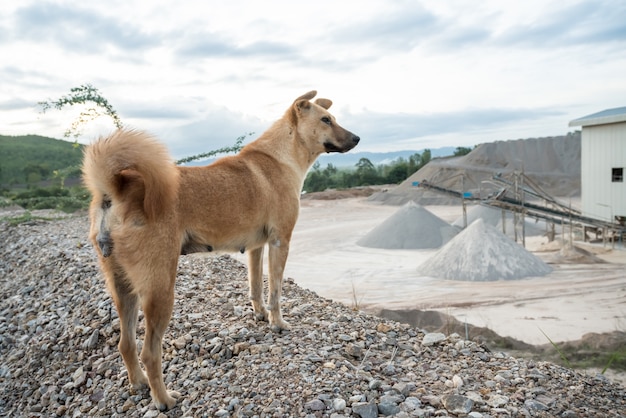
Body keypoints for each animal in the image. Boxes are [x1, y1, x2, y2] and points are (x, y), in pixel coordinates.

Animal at [80, 90, 358, 408]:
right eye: (326, 120)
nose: (357, 138)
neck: (282, 156)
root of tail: (116, 189)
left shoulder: (256, 247)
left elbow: (255, 287)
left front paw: (260, 314)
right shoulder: (280, 242)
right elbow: (275, 292)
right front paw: (277, 323)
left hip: (123, 288)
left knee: (125, 344)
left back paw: (139, 384)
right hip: (159, 288)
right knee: (149, 352)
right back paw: (164, 399)